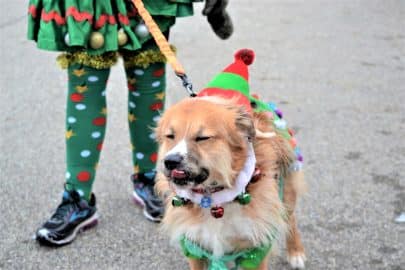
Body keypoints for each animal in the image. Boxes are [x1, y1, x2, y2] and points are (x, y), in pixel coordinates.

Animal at [154, 49, 304, 268]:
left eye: (202, 138)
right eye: (170, 136)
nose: (170, 161)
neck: (214, 198)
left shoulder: (256, 249)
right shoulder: (194, 247)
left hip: (287, 188)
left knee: (290, 218)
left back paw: (296, 252)